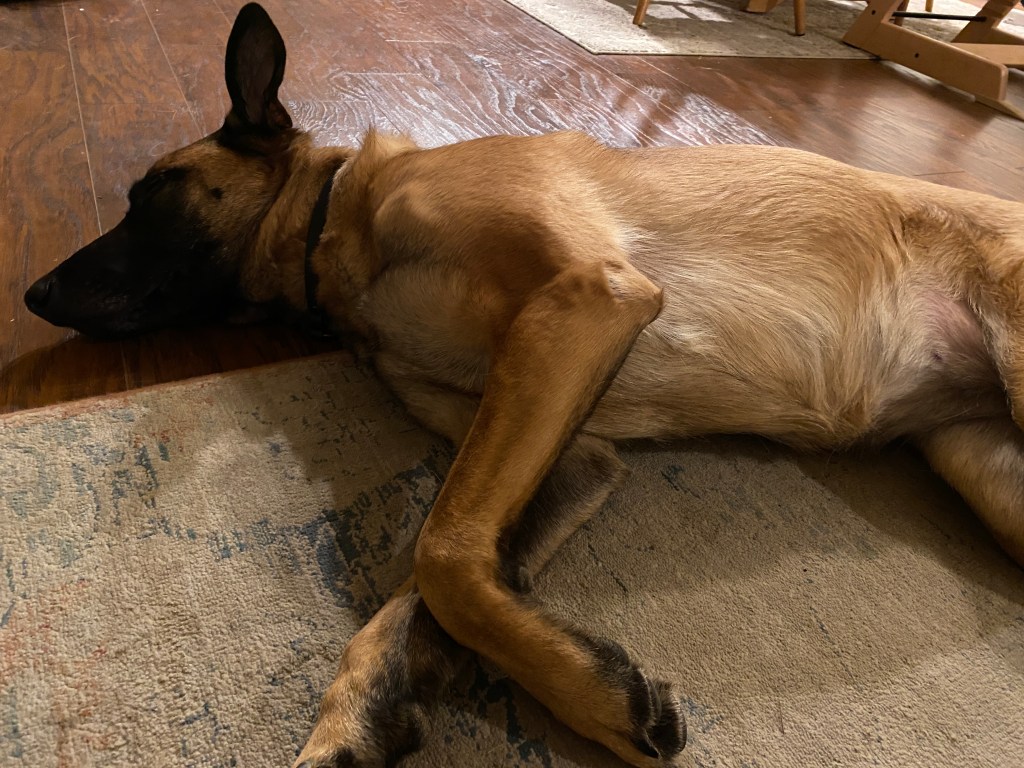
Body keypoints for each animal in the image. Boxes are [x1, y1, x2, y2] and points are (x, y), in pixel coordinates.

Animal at [24, 3, 1024, 766]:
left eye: (148, 194)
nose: (31, 295)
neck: (341, 224)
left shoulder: (584, 301)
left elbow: (445, 553)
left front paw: (600, 705)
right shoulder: (570, 442)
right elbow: (423, 590)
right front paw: (358, 718)